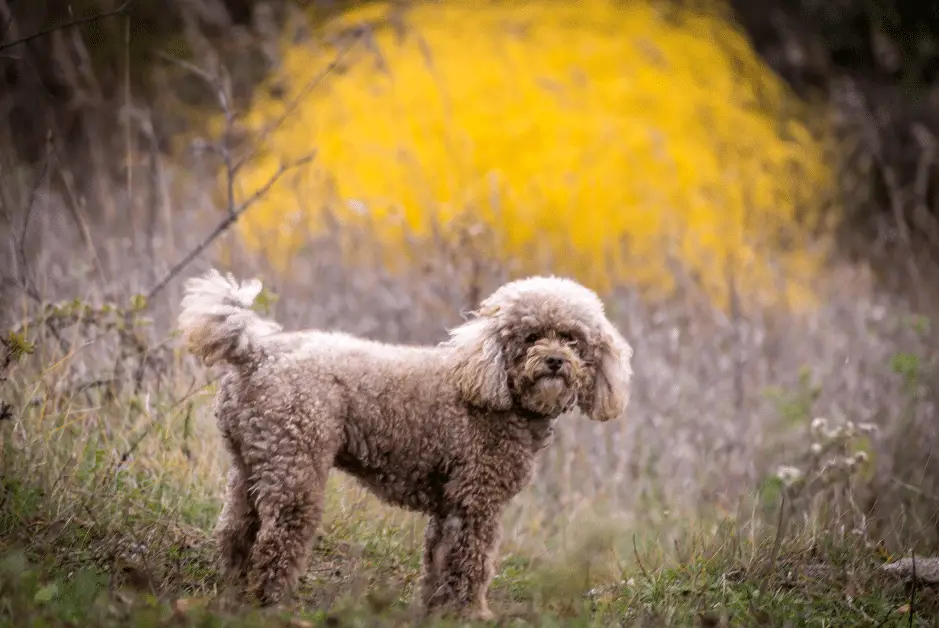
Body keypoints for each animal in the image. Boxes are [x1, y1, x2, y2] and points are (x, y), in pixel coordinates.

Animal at [176, 268, 632, 620]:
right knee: (276, 542)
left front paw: (436, 611)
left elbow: (438, 561)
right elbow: (472, 562)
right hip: (295, 469)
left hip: (251, 464)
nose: (555, 361)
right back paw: (271, 603)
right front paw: (471, 613)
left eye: (572, 339)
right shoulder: (477, 500)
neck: (492, 386)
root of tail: (256, 352)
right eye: (532, 336)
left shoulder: (450, 504)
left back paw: (235, 593)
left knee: (236, 531)